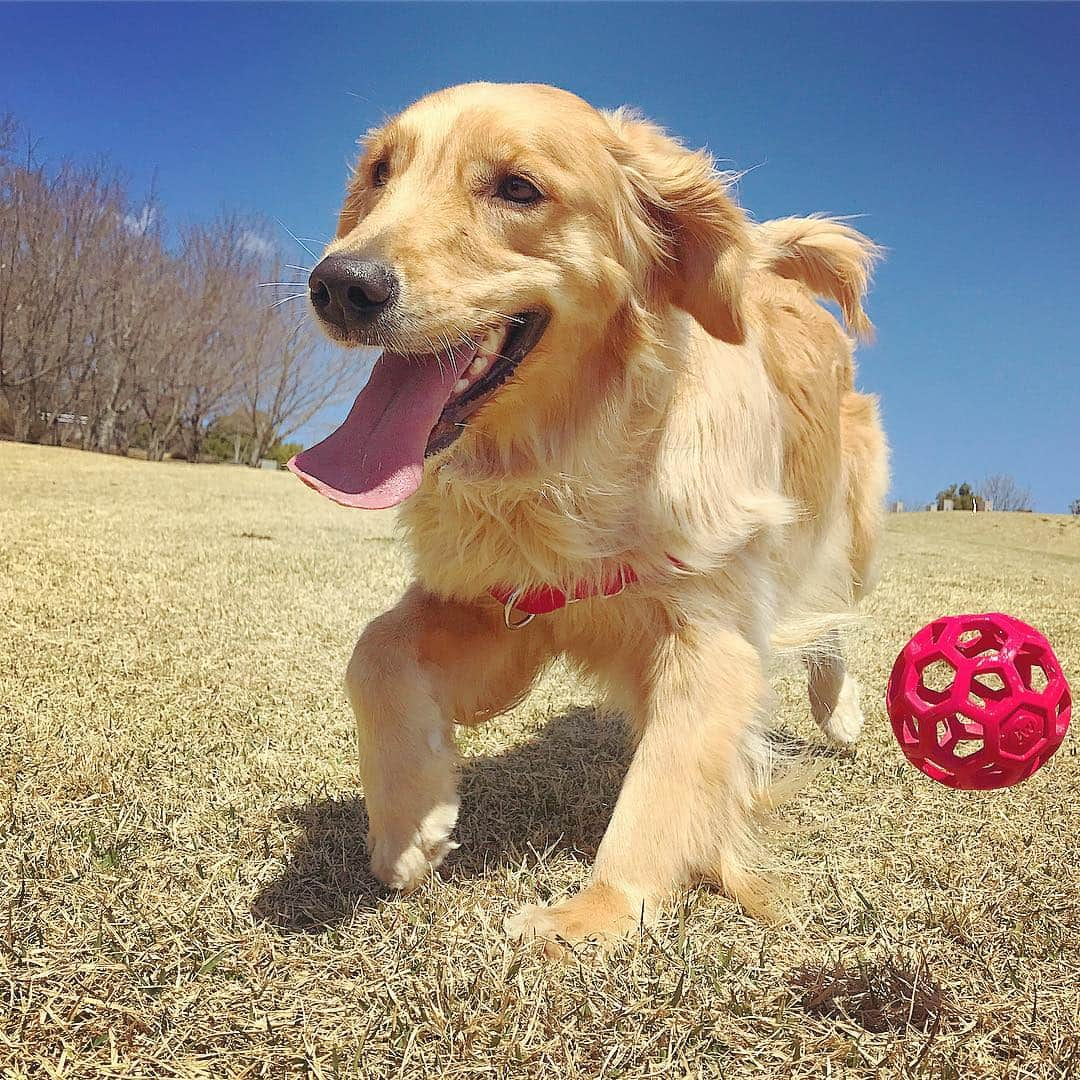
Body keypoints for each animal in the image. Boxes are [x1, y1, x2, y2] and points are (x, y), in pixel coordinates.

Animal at [287, 82, 885, 954]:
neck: (576, 459)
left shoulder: (713, 635)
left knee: (831, 613)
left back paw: (838, 711)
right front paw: (409, 824)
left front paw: (594, 913)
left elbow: (665, 783)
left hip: (847, 522)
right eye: (379, 174)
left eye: (517, 189)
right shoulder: (502, 603)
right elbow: (375, 653)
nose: (339, 284)